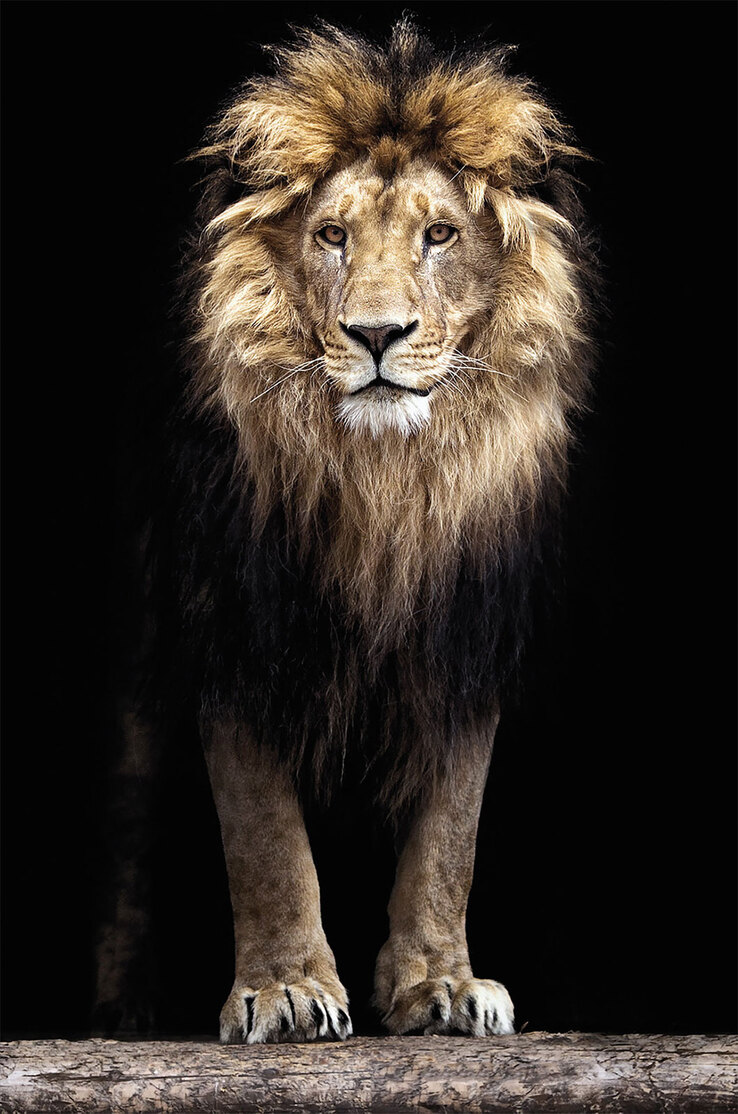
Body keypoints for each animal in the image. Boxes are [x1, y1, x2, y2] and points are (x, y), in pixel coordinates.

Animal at [105, 19, 596, 1043]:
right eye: (331, 236)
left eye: (439, 235)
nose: (377, 334)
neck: (385, 485)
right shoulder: (237, 622)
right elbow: (264, 835)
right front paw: (287, 989)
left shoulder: (464, 637)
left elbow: (451, 834)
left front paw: (442, 984)